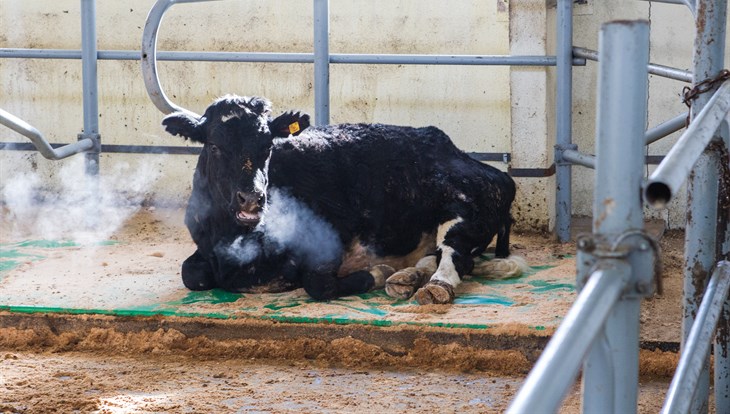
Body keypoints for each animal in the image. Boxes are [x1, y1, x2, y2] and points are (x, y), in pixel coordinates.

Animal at [163, 96, 520, 304]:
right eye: (214, 145)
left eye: (268, 145)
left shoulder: (329, 238)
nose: (251, 198)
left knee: (454, 253)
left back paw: (433, 285)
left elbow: (317, 284)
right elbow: (190, 273)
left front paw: (377, 272)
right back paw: (407, 278)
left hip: (467, 203)